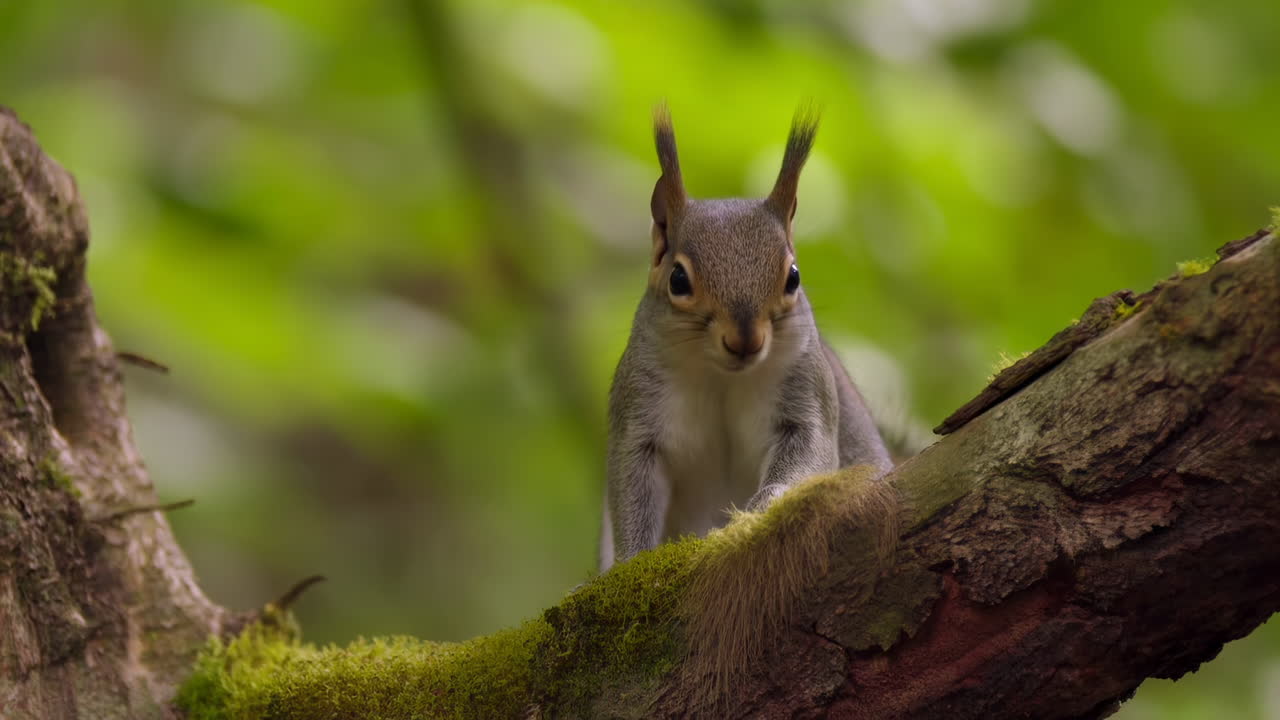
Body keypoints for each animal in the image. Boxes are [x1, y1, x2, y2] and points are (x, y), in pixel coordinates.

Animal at [600, 106, 893, 571]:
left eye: (793, 277)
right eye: (678, 279)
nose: (745, 341)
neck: (721, 376)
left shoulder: (807, 394)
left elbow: (808, 452)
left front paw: (761, 507)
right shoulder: (638, 411)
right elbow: (633, 486)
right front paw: (629, 560)